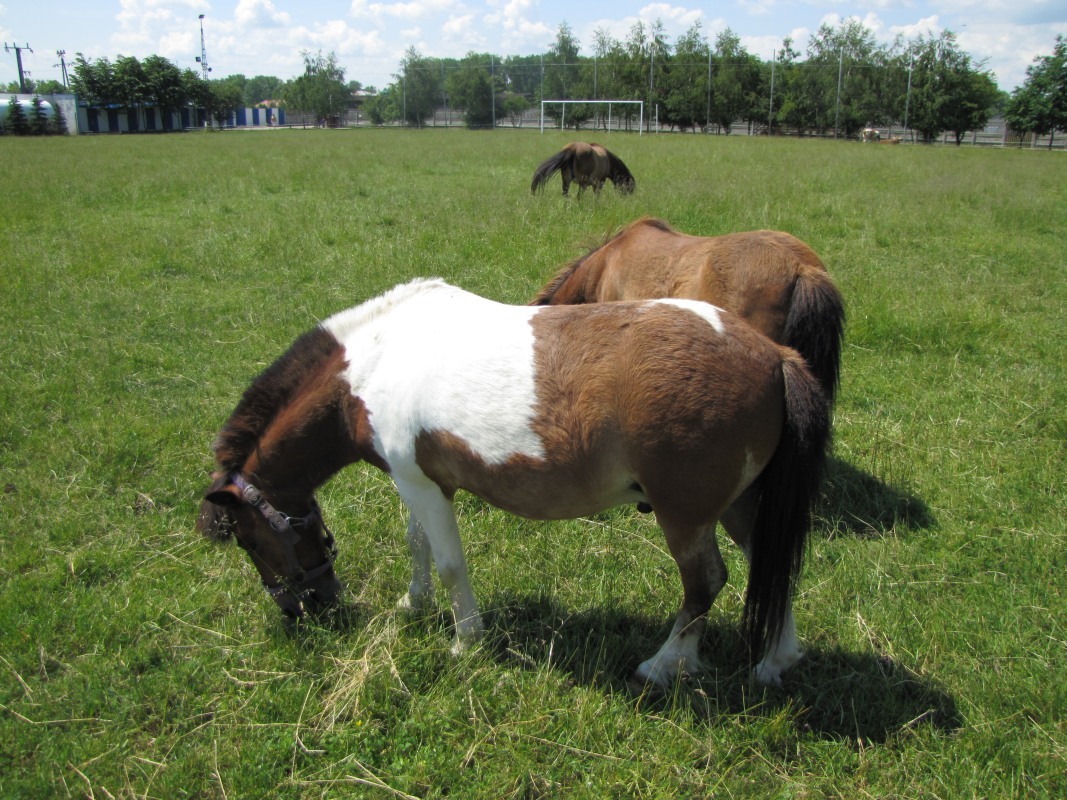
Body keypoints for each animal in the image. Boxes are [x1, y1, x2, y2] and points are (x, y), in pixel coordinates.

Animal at [197, 278, 830, 688]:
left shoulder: (420, 484)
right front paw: (413, 603)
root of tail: (773, 354)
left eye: (249, 540)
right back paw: (776, 662)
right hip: (740, 503)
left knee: (706, 581)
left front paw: (464, 641)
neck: (375, 362)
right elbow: (417, 545)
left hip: (686, 514)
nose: (307, 609)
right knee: (769, 561)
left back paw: (664, 665)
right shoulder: (417, 481)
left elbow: (450, 563)